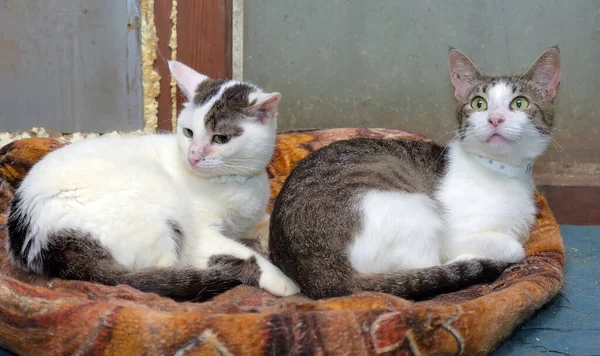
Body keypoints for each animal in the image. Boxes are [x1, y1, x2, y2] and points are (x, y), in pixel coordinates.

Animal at [5, 60, 300, 300]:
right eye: (189, 132)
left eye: (220, 138)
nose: (193, 156)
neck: (233, 182)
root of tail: (32, 235)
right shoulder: (200, 234)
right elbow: (244, 253)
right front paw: (280, 278)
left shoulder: (249, 219)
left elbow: (265, 224)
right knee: (166, 270)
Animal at [270, 46, 560, 298]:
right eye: (479, 104)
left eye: (519, 103)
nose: (495, 119)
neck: (503, 172)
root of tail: (314, 273)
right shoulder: (459, 236)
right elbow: (515, 248)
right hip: (414, 209)